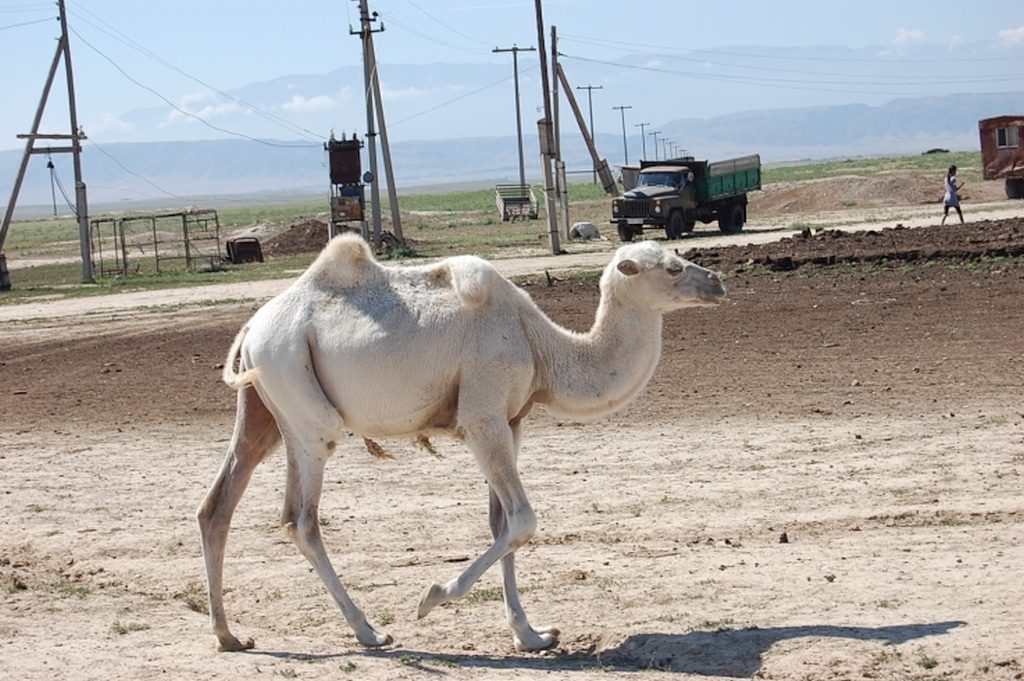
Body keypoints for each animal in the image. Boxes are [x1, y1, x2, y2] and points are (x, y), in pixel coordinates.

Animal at [197, 235, 729, 655]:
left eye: (679, 255)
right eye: (673, 267)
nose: (718, 281)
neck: (540, 344)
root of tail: (252, 327)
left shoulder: (512, 420)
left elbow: (502, 523)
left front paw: (531, 635)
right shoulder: (482, 415)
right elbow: (523, 520)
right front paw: (432, 596)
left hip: (265, 408)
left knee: (218, 505)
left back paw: (228, 636)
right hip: (301, 396)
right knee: (301, 520)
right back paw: (369, 632)